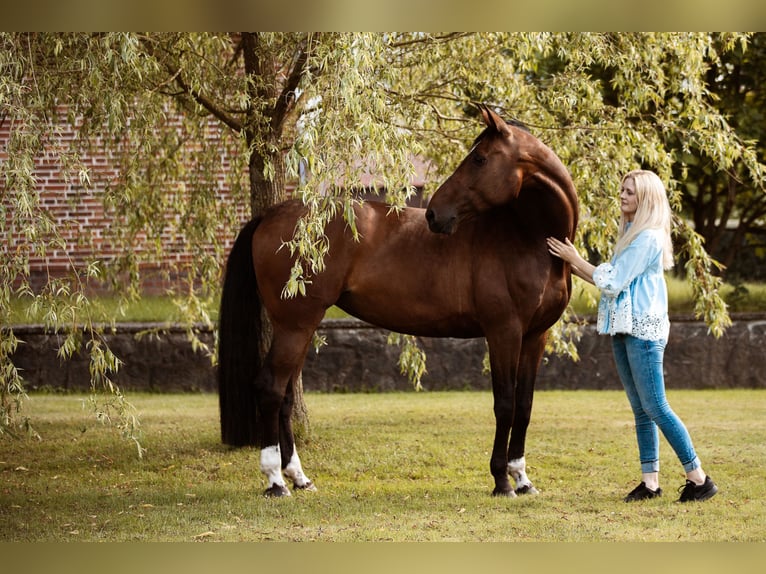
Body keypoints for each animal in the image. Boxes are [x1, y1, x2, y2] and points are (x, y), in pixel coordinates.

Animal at [219, 107, 580, 500]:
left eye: (480, 159)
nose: (434, 214)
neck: (528, 238)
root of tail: (270, 215)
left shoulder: (535, 336)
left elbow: (525, 406)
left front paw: (523, 479)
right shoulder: (503, 332)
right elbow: (505, 404)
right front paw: (501, 481)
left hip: (299, 326)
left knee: (285, 395)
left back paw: (299, 477)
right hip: (295, 325)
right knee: (270, 388)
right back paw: (275, 481)